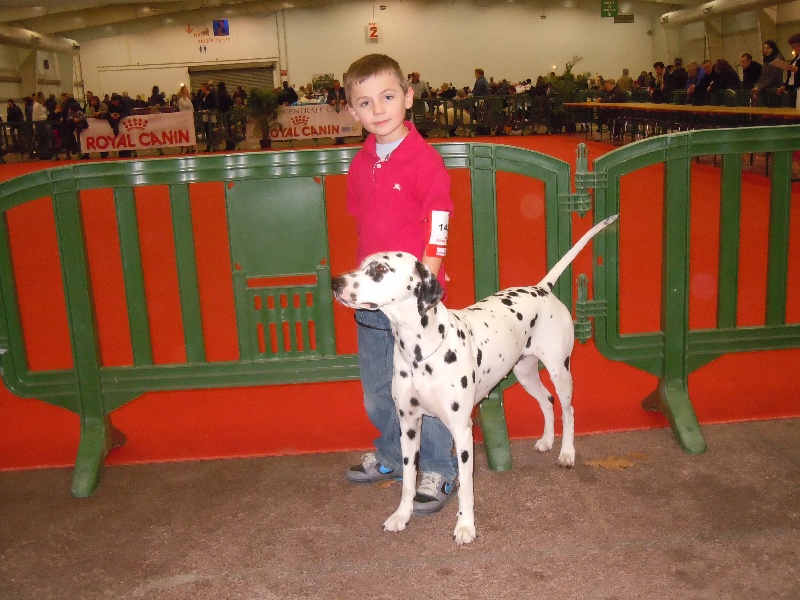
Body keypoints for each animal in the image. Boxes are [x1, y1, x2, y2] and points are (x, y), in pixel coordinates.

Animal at [332, 216, 620, 544]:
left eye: (380, 269)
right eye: (362, 264)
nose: (336, 282)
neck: (420, 352)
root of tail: (541, 288)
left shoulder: (461, 431)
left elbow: (466, 488)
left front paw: (465, 526)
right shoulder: (409, 425)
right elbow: (408, 480)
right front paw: (401, 516)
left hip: (560, 371)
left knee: (568, 410)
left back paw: (567, 453)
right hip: (525, 373)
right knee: (547, 401)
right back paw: (548, 440)